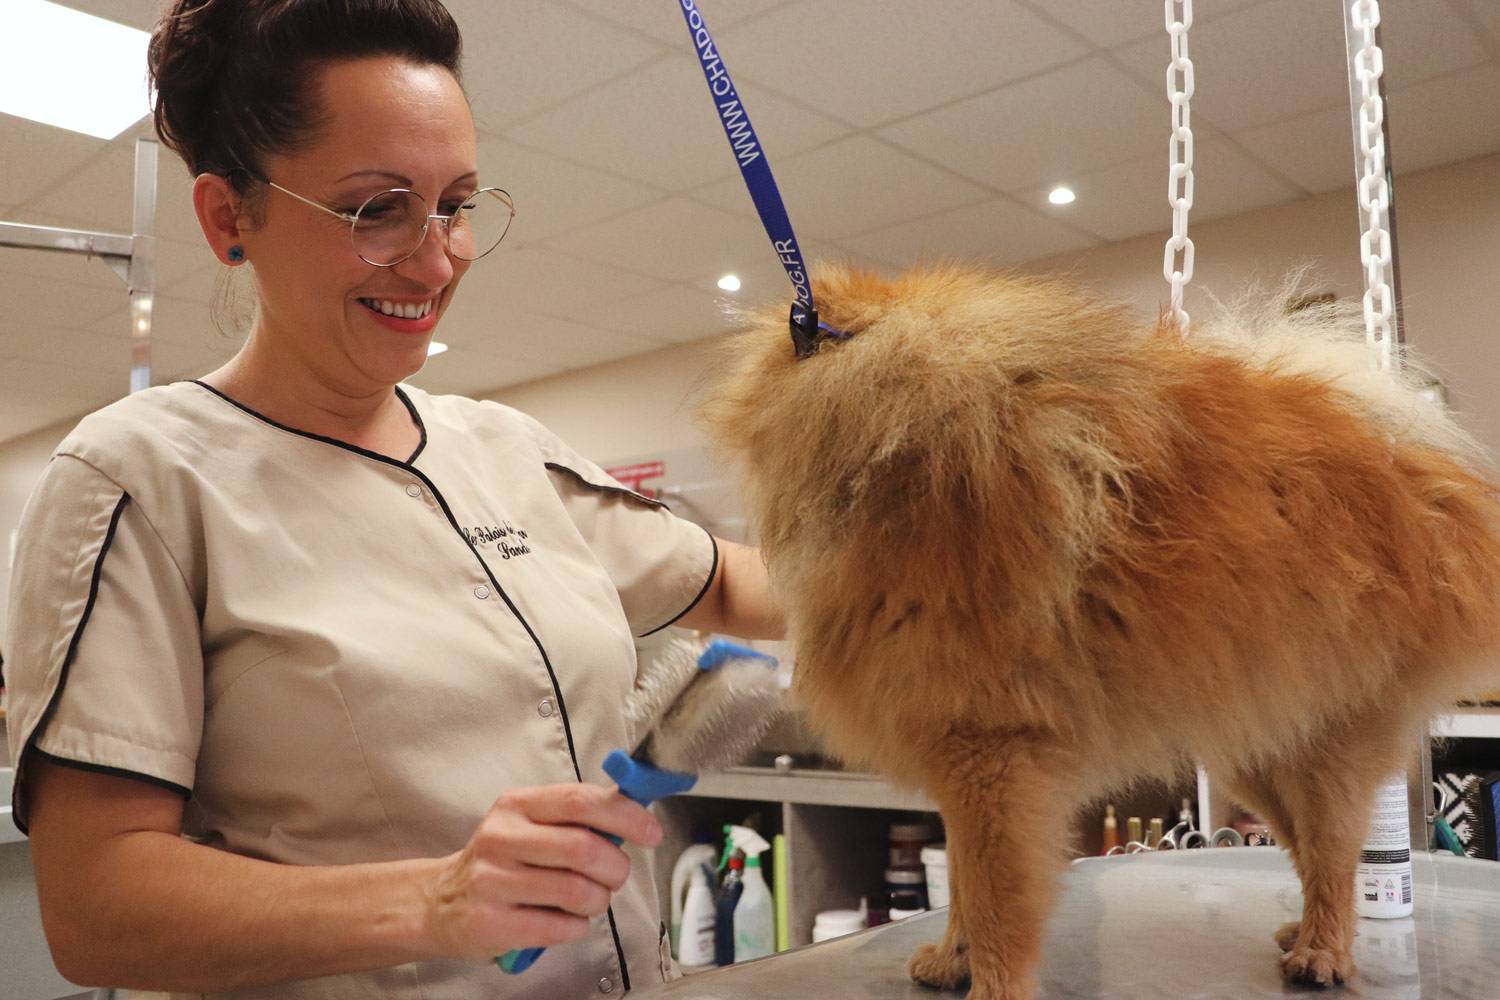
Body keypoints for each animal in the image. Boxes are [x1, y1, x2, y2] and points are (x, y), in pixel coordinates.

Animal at [699, 265, 1500, 1000]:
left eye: (831, 327)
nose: (800, 315)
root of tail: (1430, 490)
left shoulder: (993, 763)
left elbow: (996, 904)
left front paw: (991, 985)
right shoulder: (965, 770)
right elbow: (963, 890)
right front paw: (952, 960)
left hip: (1329, 745)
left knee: (1334, 852)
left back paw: (1323, 951)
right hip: (1261, 754)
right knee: (1308, 848)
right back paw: (1302, 933)